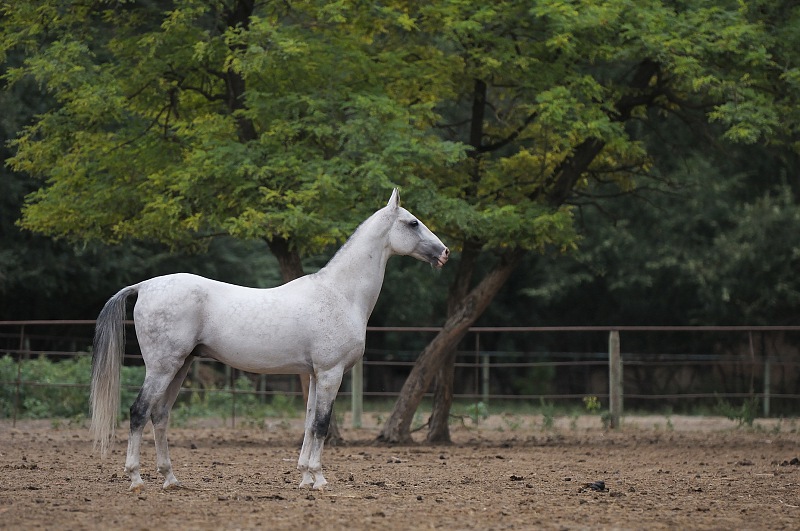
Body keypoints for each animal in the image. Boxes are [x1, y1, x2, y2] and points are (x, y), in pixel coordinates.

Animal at [92, 189, 450, 492]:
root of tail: (145, 286)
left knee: (160, 415)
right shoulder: (331, 373)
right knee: (139, 412)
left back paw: (170, 479)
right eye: (413, 222)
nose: (444, 253)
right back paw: (136, 479)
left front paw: (305, 476)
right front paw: (319, 479)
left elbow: (309, 423)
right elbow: (322, 424)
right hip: (162, 368)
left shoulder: (314, 374)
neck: (339, 294)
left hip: (180, 367)